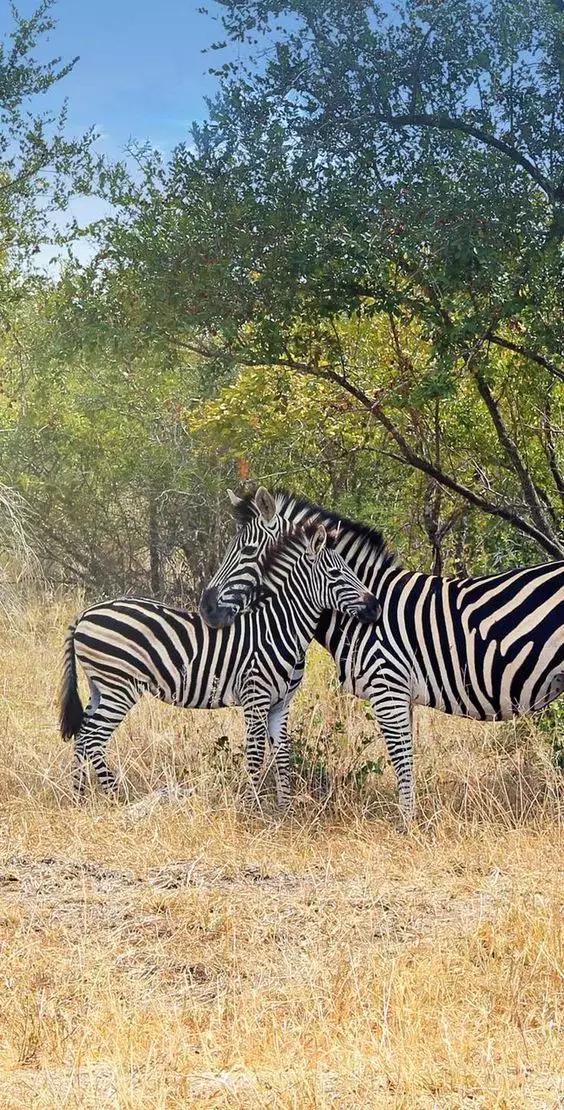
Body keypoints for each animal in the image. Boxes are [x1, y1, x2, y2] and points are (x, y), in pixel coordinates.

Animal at [59, 523, 381, 803]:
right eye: (336, 573)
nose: (376, 607)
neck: (279, 628)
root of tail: (86, 614)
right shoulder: (255, 697)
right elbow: (255, 754)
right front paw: (253, 809)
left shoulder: (281, 703)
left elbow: (283, 755)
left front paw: (285, 809)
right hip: (120, 687)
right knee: (93, 739)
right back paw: (115, 797)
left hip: (100, 687)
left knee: (83, 736)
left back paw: (79, 797)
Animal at [198, 488, 564, 825]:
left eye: (245, 551)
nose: (206, 609)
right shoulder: (402, 695)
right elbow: (408, 756)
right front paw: (411, 819)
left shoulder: (388, 687)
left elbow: (401, 757)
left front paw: (406, 826)